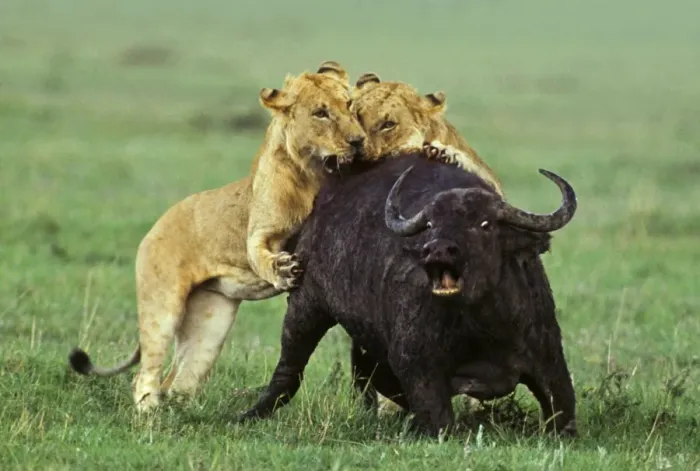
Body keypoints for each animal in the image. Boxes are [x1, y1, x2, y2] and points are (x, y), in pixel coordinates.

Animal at [67, 61, 367, 413]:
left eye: (349, 105)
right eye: (321, 113)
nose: (358, 140)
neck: (313, 174)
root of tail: (154, 227)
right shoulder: (259, 233)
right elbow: (260, 254)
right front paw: (283, 271)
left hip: (209, 327)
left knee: (178, 381)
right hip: (163, 307)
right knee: (144, 375)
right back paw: (149, 416)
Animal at [236, 148, 579, 438]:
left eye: (484, 224)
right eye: (431, 225)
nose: (438, 249)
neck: (480, 325)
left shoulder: (549, 357)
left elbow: (563, 406)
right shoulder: (418, 366)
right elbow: (439, 420)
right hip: (306, 304)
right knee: (290, 367)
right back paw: (250, 414)